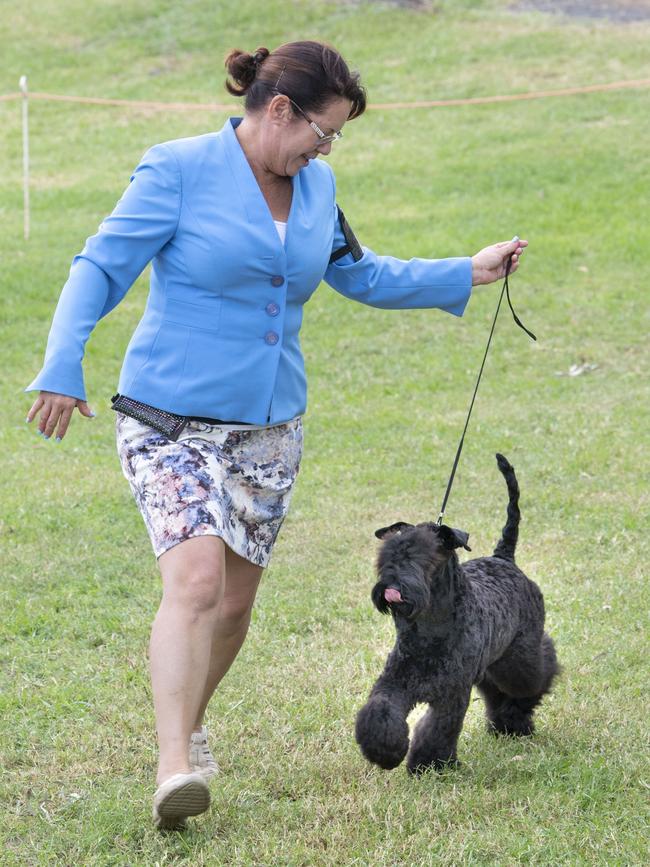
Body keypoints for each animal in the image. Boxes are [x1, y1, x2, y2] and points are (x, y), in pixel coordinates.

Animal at [354, 458, 556, 776]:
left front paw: (429, 764)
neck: (431, 626)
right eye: (387, 553)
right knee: (494, 689)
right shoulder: (396, 682)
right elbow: (380, 711)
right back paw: (504, 724)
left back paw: (516, 721)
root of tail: (504, 559)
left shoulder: (451, 693)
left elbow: (438, 729)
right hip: (492, 664)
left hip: (519, 657)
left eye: (424, 555)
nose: (391, 585)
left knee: (539, 671)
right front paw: (385, 751)